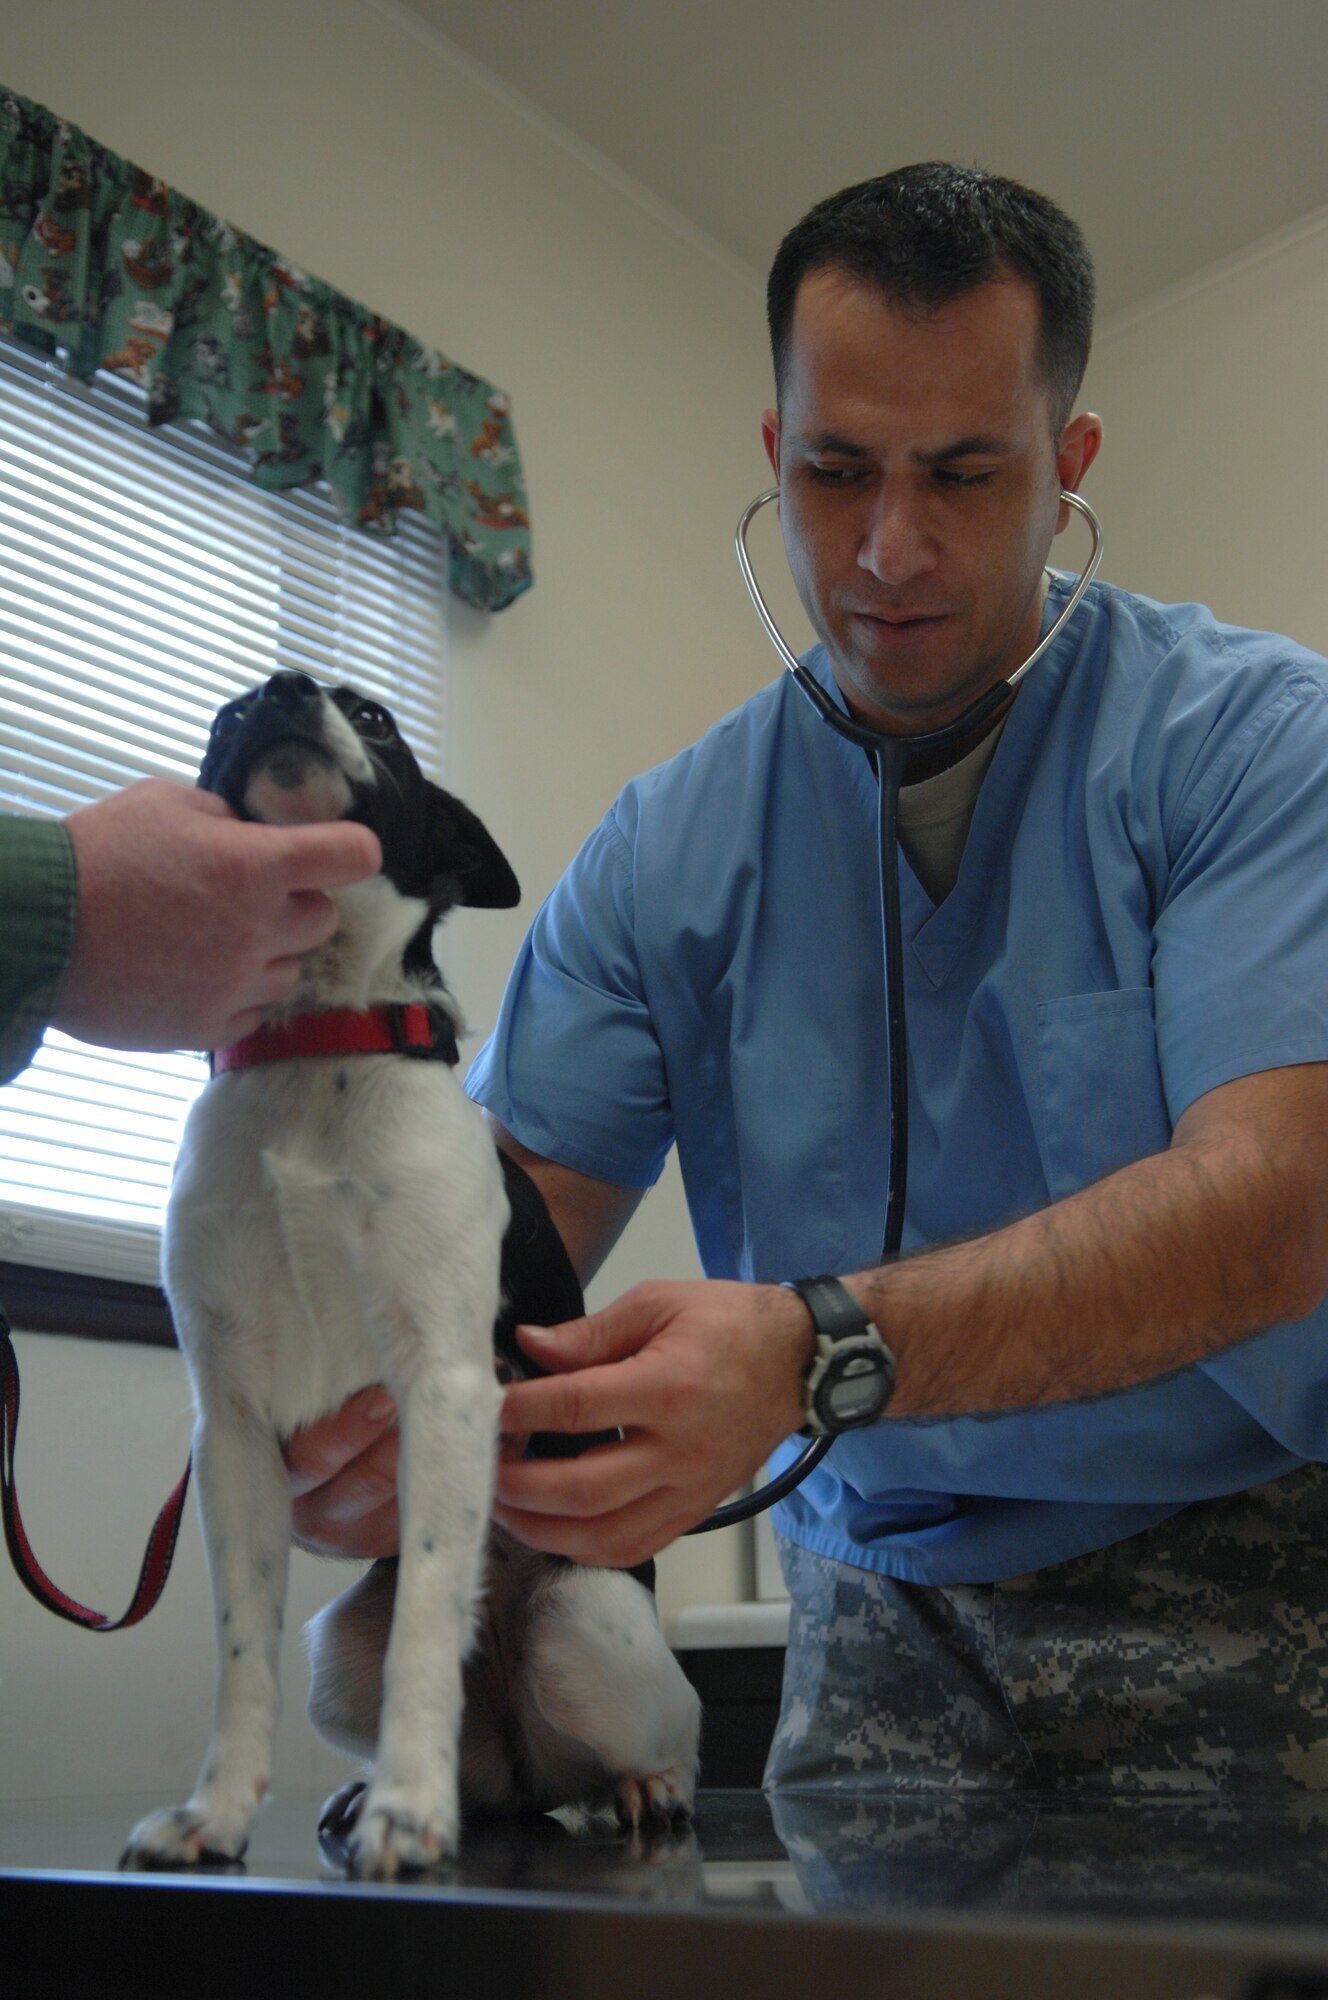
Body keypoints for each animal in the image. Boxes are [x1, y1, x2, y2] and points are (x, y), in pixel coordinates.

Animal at [123, 672, 700, 1872]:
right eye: (225, 715)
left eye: (377, 718)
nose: (282, 690)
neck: (315, 1039)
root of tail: (522, 1764)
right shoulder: (232, 1431)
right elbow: (239, 1655)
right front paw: (220, 1812)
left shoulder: (443, 1388)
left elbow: (430, 1619)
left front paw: (407, 1808)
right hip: (334, 1654)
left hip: (588, 1626)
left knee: (667, 1735)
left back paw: (641, 1785)